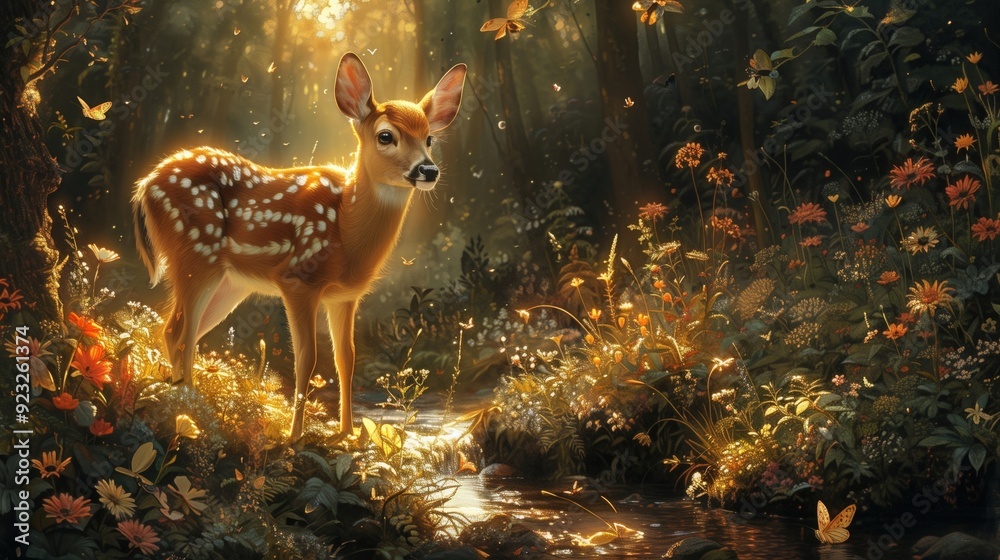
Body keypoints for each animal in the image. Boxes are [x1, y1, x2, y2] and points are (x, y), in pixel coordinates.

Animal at [132, 53, 466, 439]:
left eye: (429, 138)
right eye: (386, 136)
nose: (428, 170)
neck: (346, 229)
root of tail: (144, 186)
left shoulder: (345, 296)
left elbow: (346, 358)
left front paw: (348, 435)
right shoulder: (298, 279)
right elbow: (307, 358)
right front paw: (294, 437)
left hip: (231, 282)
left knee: (178, 331)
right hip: (196, 254)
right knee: (179, 332)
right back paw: (193, 411)